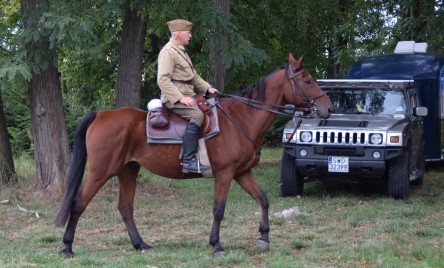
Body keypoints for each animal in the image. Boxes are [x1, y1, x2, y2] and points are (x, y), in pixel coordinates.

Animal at [54, 53, 332, 256]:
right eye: (308, 80)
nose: (328, 108)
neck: (240, 118)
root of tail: (101, 114)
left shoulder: (242, 173)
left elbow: (263, 200)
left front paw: (263, 237)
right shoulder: (225, 174)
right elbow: (219, 209)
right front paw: (217, 245)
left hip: (128, 170)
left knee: (125, 207)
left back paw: (140, 244)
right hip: (101, 171)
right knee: (78, 203)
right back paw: (67, 247)